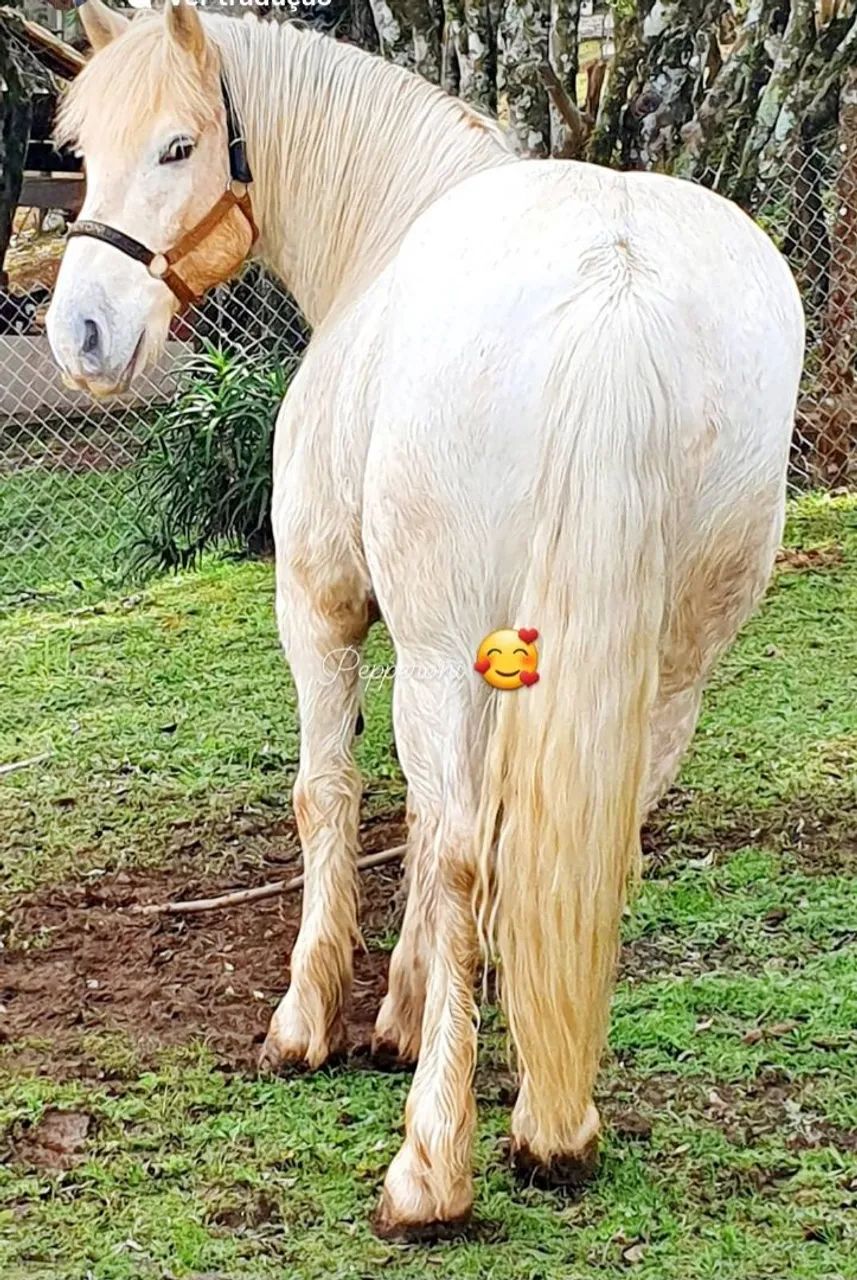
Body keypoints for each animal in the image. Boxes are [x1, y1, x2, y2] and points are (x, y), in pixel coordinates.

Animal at [46, 1, 805, 1238]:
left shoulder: (327, 613)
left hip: (449, 656)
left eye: (175, 146)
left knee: (456, 859)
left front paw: (310, 1021)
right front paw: (404, 1012)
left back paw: (430, 1166)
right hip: (660, 672)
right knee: (583, 848)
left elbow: (335, 798)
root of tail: (616, 272)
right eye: (79, 151)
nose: (83, 333)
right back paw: (551, 1120)